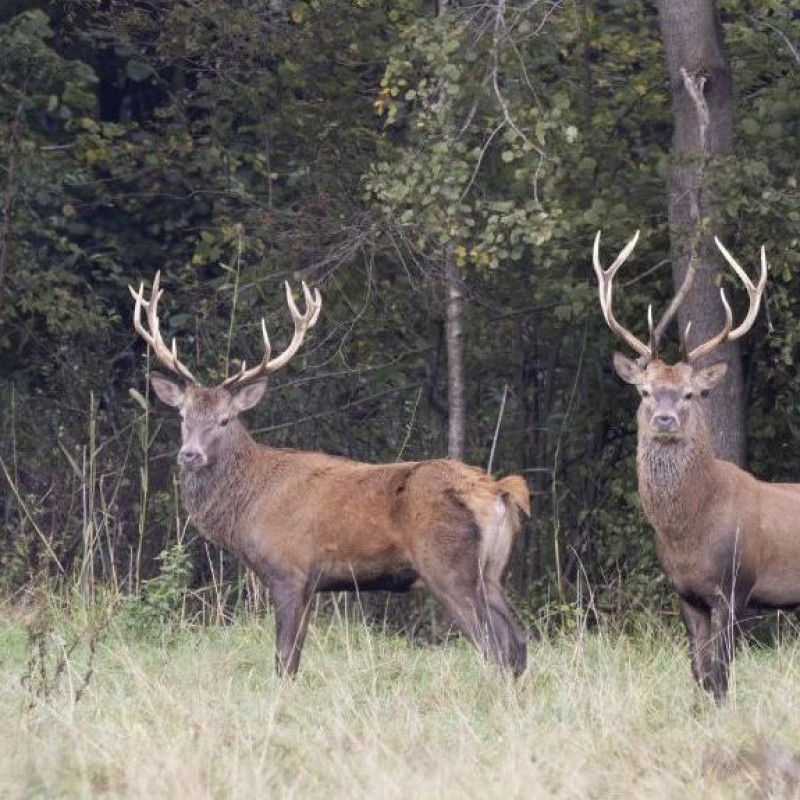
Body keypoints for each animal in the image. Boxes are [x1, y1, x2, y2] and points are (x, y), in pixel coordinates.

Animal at [130, 274, 532, 676]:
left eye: (225, 420)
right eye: (183, 416)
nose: (190, 455)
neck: (247, 508)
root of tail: (498, 491)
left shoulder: (289, 570)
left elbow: (284, 659)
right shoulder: (311, 583)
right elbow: (294, 657)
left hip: (449, 567)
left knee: (495, 646)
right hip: (494, 572)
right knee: (519, 641)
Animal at [592, 230, 800, 700]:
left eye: (689, 394)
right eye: (645, 391)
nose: (665, 419)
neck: (689, 530)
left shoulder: (734, 587)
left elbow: (720, 672)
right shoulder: (686, 594)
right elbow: (699, 672)